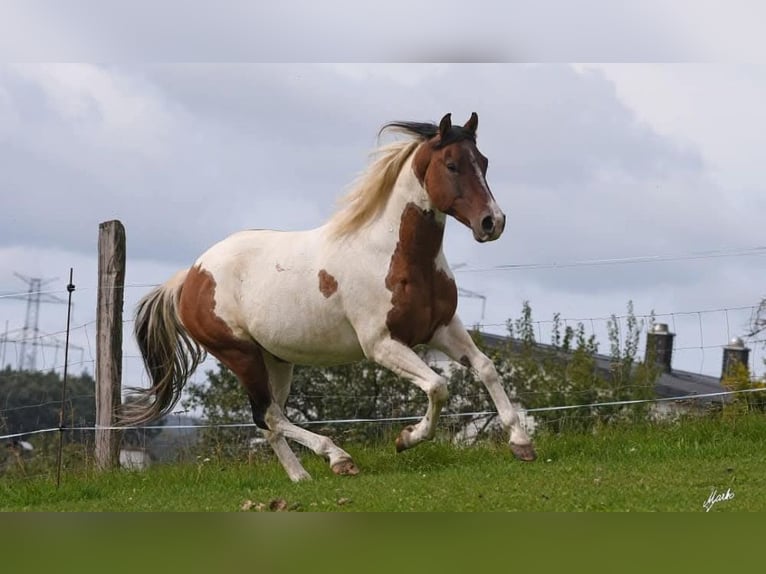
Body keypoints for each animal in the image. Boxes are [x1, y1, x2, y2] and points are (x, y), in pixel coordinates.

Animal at [124, 112, 537, 481]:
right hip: (239, 354)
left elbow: (486, 367)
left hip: (276, 360)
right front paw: (406, 439)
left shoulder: (442, 328)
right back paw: (338, 458)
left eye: (483, 162)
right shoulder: (381, 344)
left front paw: (521, 443)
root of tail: (190, 276)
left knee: (270, 421)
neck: (394, 254)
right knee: (267, 415)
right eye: (451, 165)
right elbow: (438, 386)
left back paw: (301, 478)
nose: (492, 222)